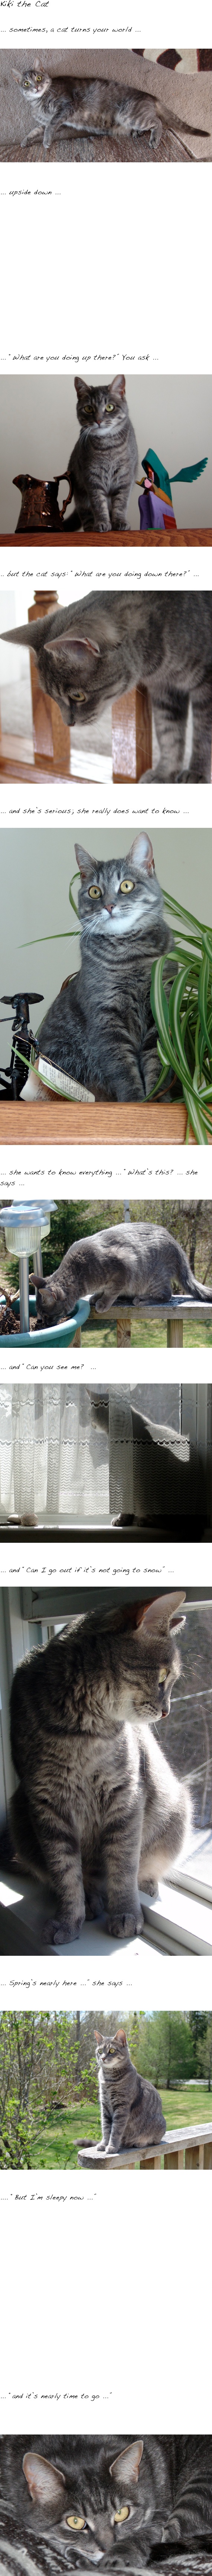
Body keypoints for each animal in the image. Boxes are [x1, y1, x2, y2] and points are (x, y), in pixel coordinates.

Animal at [3, 590, 212, 773]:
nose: (68, 724)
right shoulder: (164, 690)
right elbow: (169, 733)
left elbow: (203, 735)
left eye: (78, 696)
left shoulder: (205, 684)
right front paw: (165, 774)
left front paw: (197, 774)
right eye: (51, 697)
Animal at [31, 1210, 211, 1319]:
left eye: (46, 1316)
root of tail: (178, 1247)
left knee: (167, 1295)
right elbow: (105, 1290)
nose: (44, 1324)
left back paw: (141, 1300)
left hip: (154, 1278)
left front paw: (103, 1302)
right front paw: (97, 1297)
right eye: (40, 1315)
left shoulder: (125, 1268)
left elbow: (111, 1292)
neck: (78, 1270)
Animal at [33, 829, 170, 1102]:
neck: (130, 956)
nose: (109, 905)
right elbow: (123, 1069)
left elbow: (156, 1062)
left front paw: (157, 1101)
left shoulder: (160, 1010)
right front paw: (136, 1102)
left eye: (126, 886)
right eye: (95, 892)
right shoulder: (107, 1019)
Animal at [63, 373, 138, 533]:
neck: (108, 448)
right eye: (89, 409)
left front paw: (120, 522)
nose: (98, 420)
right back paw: (91, 528)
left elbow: (121, 503)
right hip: (81, 497)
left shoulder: (125, 478)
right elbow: (98, 504)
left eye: (110, 408)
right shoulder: (92, 478)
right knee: (86, 515)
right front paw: (103, 523)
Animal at [94, 2030, 165, 2153]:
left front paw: (112, 2147)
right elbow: (106, 2128)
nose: (102, 2058)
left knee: (154, 2141)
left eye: (112, 2051)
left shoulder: (122, 2108)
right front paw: (103, 2144)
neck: (109, 2079)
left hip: (158, 2128)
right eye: (100, 2051)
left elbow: (116, 2130)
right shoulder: (105, 2107)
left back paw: (140, 2143)